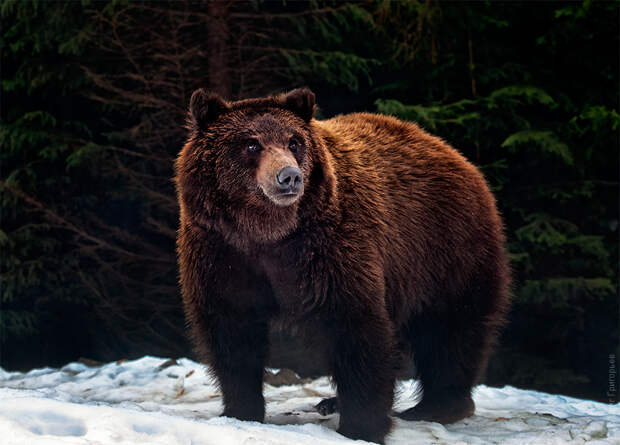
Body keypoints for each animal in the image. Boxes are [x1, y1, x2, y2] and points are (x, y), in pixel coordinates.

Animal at [173, 88, 508, 442]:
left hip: (444, 248)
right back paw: (333, 402)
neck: (267, 233)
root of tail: (454, 154)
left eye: (294, 142)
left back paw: (437, 405)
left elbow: (355, 324)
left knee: (449, 328)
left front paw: (362, 425)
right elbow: (232, 332)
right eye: (251, 144)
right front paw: (241, 411)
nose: (289, 177)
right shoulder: (223, 254)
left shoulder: (329, 248)